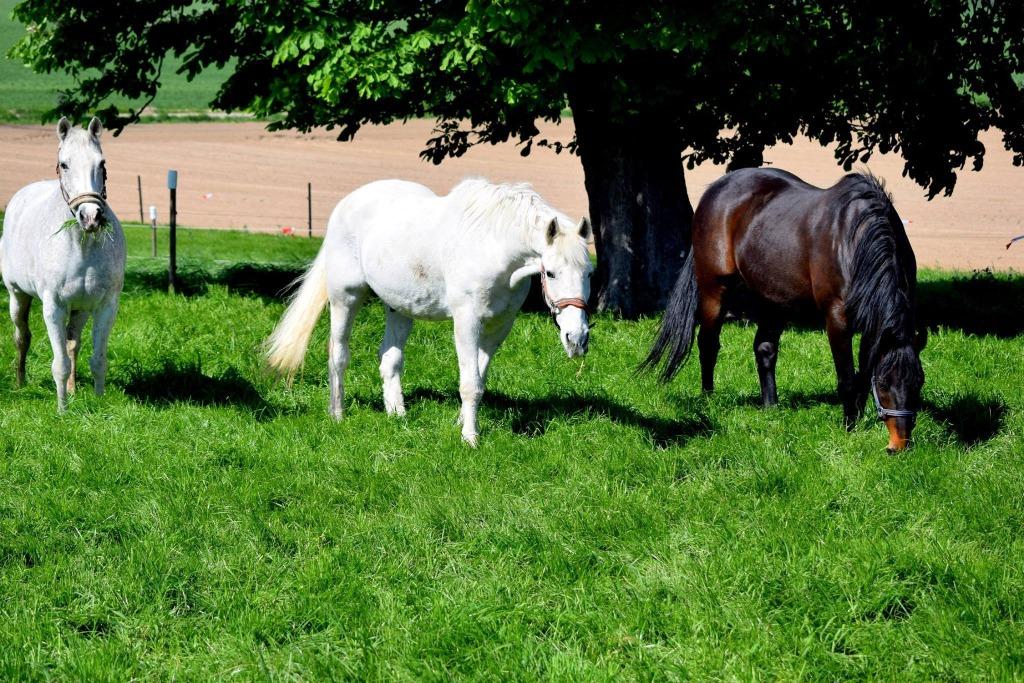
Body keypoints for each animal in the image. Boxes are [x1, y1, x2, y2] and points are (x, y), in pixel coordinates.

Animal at [0, 117, 126, 412]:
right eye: (65, 164)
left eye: (102, 163)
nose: (91, 217)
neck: (81, 244)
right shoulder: (53, 306)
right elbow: (59, 364)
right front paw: (62, 410)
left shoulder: (105, 305)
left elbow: (97, 359)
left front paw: (98, 403)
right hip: (17, 296)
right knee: (21, 337)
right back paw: (20, 383)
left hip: (80, 308)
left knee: (72, 344)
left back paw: (73, 389)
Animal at [266, 178, 593, 445]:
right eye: (550, 273)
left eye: (588, 273)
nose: (576, 339)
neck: (493, 247)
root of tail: (347, 204)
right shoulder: (467, 321)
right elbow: (470, 383)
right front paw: (470, 438)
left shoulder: (500, 326)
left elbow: (479, 378)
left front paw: (461, 422)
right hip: (345, 296)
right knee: (338, 353)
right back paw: (337, 414)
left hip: (399, 307)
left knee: (389, 357)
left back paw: (397, 414)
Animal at [642, 168, 926, 452]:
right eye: (884, 383)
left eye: (919, 381)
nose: (899, 444)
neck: (856, 241)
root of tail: (717, 187)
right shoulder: (837, 319)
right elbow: (847, 378)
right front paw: (849, 428)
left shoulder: (873, 324)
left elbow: (863, 375)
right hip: (715, 290)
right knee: (708, 344)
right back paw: (708, 398)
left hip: (773, 300)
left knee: (764, 349)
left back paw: (771, 406)